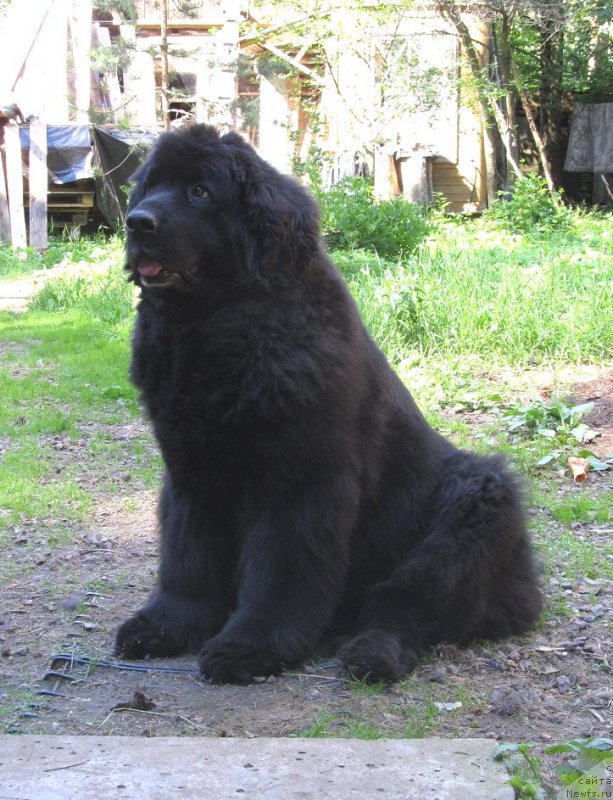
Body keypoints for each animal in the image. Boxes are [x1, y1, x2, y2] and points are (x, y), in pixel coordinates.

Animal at [115, 123, 540, 680]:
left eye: (200, 192)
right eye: (150, 187)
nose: (137, 221)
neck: (213, 327)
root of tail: (529, 589)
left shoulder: (299, 479)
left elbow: (280, 571)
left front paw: (251, 645)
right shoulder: (191, 471)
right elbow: (186, 559)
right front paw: (166, 626)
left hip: (477, 499)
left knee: (408, 603)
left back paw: (371, 651)